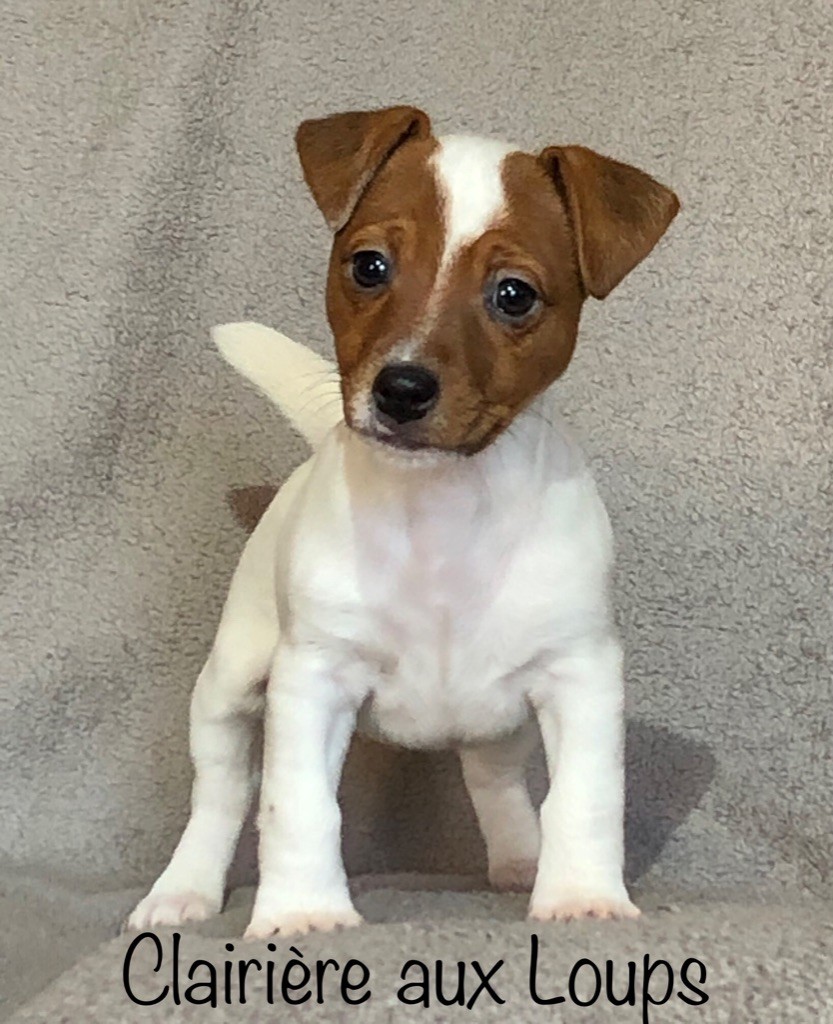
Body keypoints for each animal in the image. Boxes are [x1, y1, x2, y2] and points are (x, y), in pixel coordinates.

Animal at [128, 105, 678, 938]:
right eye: (368, 267)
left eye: (513, 295)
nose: (402, 388)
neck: (441, 514)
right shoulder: (312, 680)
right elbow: (297, 806)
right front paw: (303, 912)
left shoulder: (579, 674)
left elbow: (583, 800)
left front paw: (581, 898)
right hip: (230, 682)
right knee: (220, 790)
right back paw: (182, 890)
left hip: (501, 722)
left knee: (495, 780)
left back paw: (521, 858)